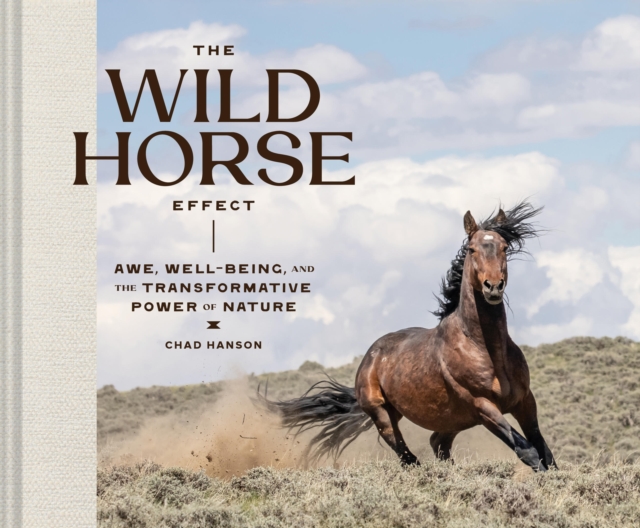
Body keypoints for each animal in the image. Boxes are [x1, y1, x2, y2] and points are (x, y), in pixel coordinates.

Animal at [260, 202, 557, 472]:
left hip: (454, 419)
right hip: (384, 415)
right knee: (407, 456)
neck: (485, 349)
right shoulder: (484, 407)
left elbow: (545, 452)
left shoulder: (524, 401)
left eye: (505, 247)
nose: (493, 287)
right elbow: (529, 452)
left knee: (437, 444)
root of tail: (370, 356)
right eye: (472, 249)